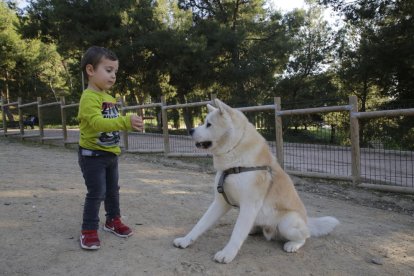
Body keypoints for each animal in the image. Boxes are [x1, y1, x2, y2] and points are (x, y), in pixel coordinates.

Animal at [173, 98, 338, 264]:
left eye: (209, 124)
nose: (190, 130)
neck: (235, 161)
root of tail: (306, 220)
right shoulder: (221, 202)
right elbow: (200, 224)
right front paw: (185, 240)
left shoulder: (249, 205)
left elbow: (237, 233)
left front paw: (227, 254)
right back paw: (254, 230)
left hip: (287, 223)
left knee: (306, 236)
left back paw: (292, 245)